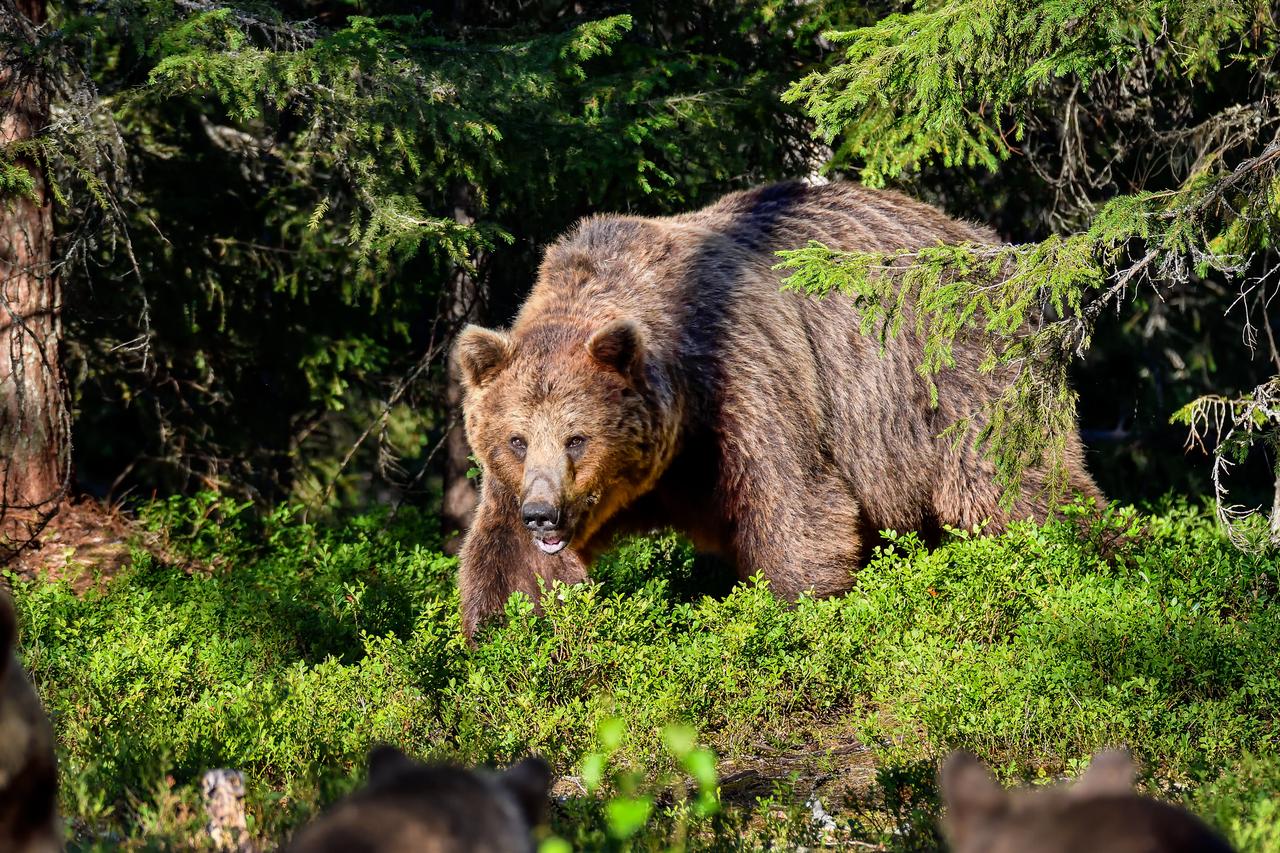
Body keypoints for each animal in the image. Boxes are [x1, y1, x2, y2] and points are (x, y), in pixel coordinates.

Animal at [453, 180, 1101, 637]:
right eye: (516, 440)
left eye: (577, 438)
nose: (543, 514)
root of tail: (991, 246)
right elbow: (508, 563)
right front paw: (499, 635)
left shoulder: (744, 377)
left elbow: (796, 507)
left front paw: (797, 612)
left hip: (951, 374)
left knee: (1015, 482)